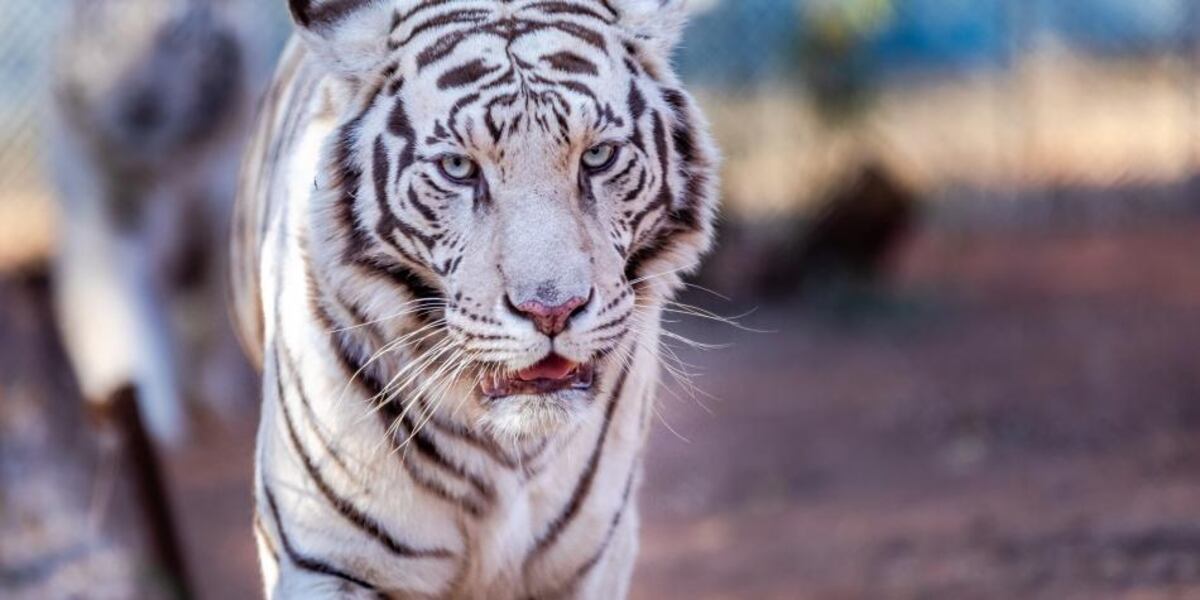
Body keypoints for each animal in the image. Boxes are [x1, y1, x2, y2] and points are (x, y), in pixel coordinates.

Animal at [232, 0, 718, 597]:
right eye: (459, 168)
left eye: (598, 156)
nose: (551, 310)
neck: (509, 450)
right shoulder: (326, 559)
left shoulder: (595, 556)